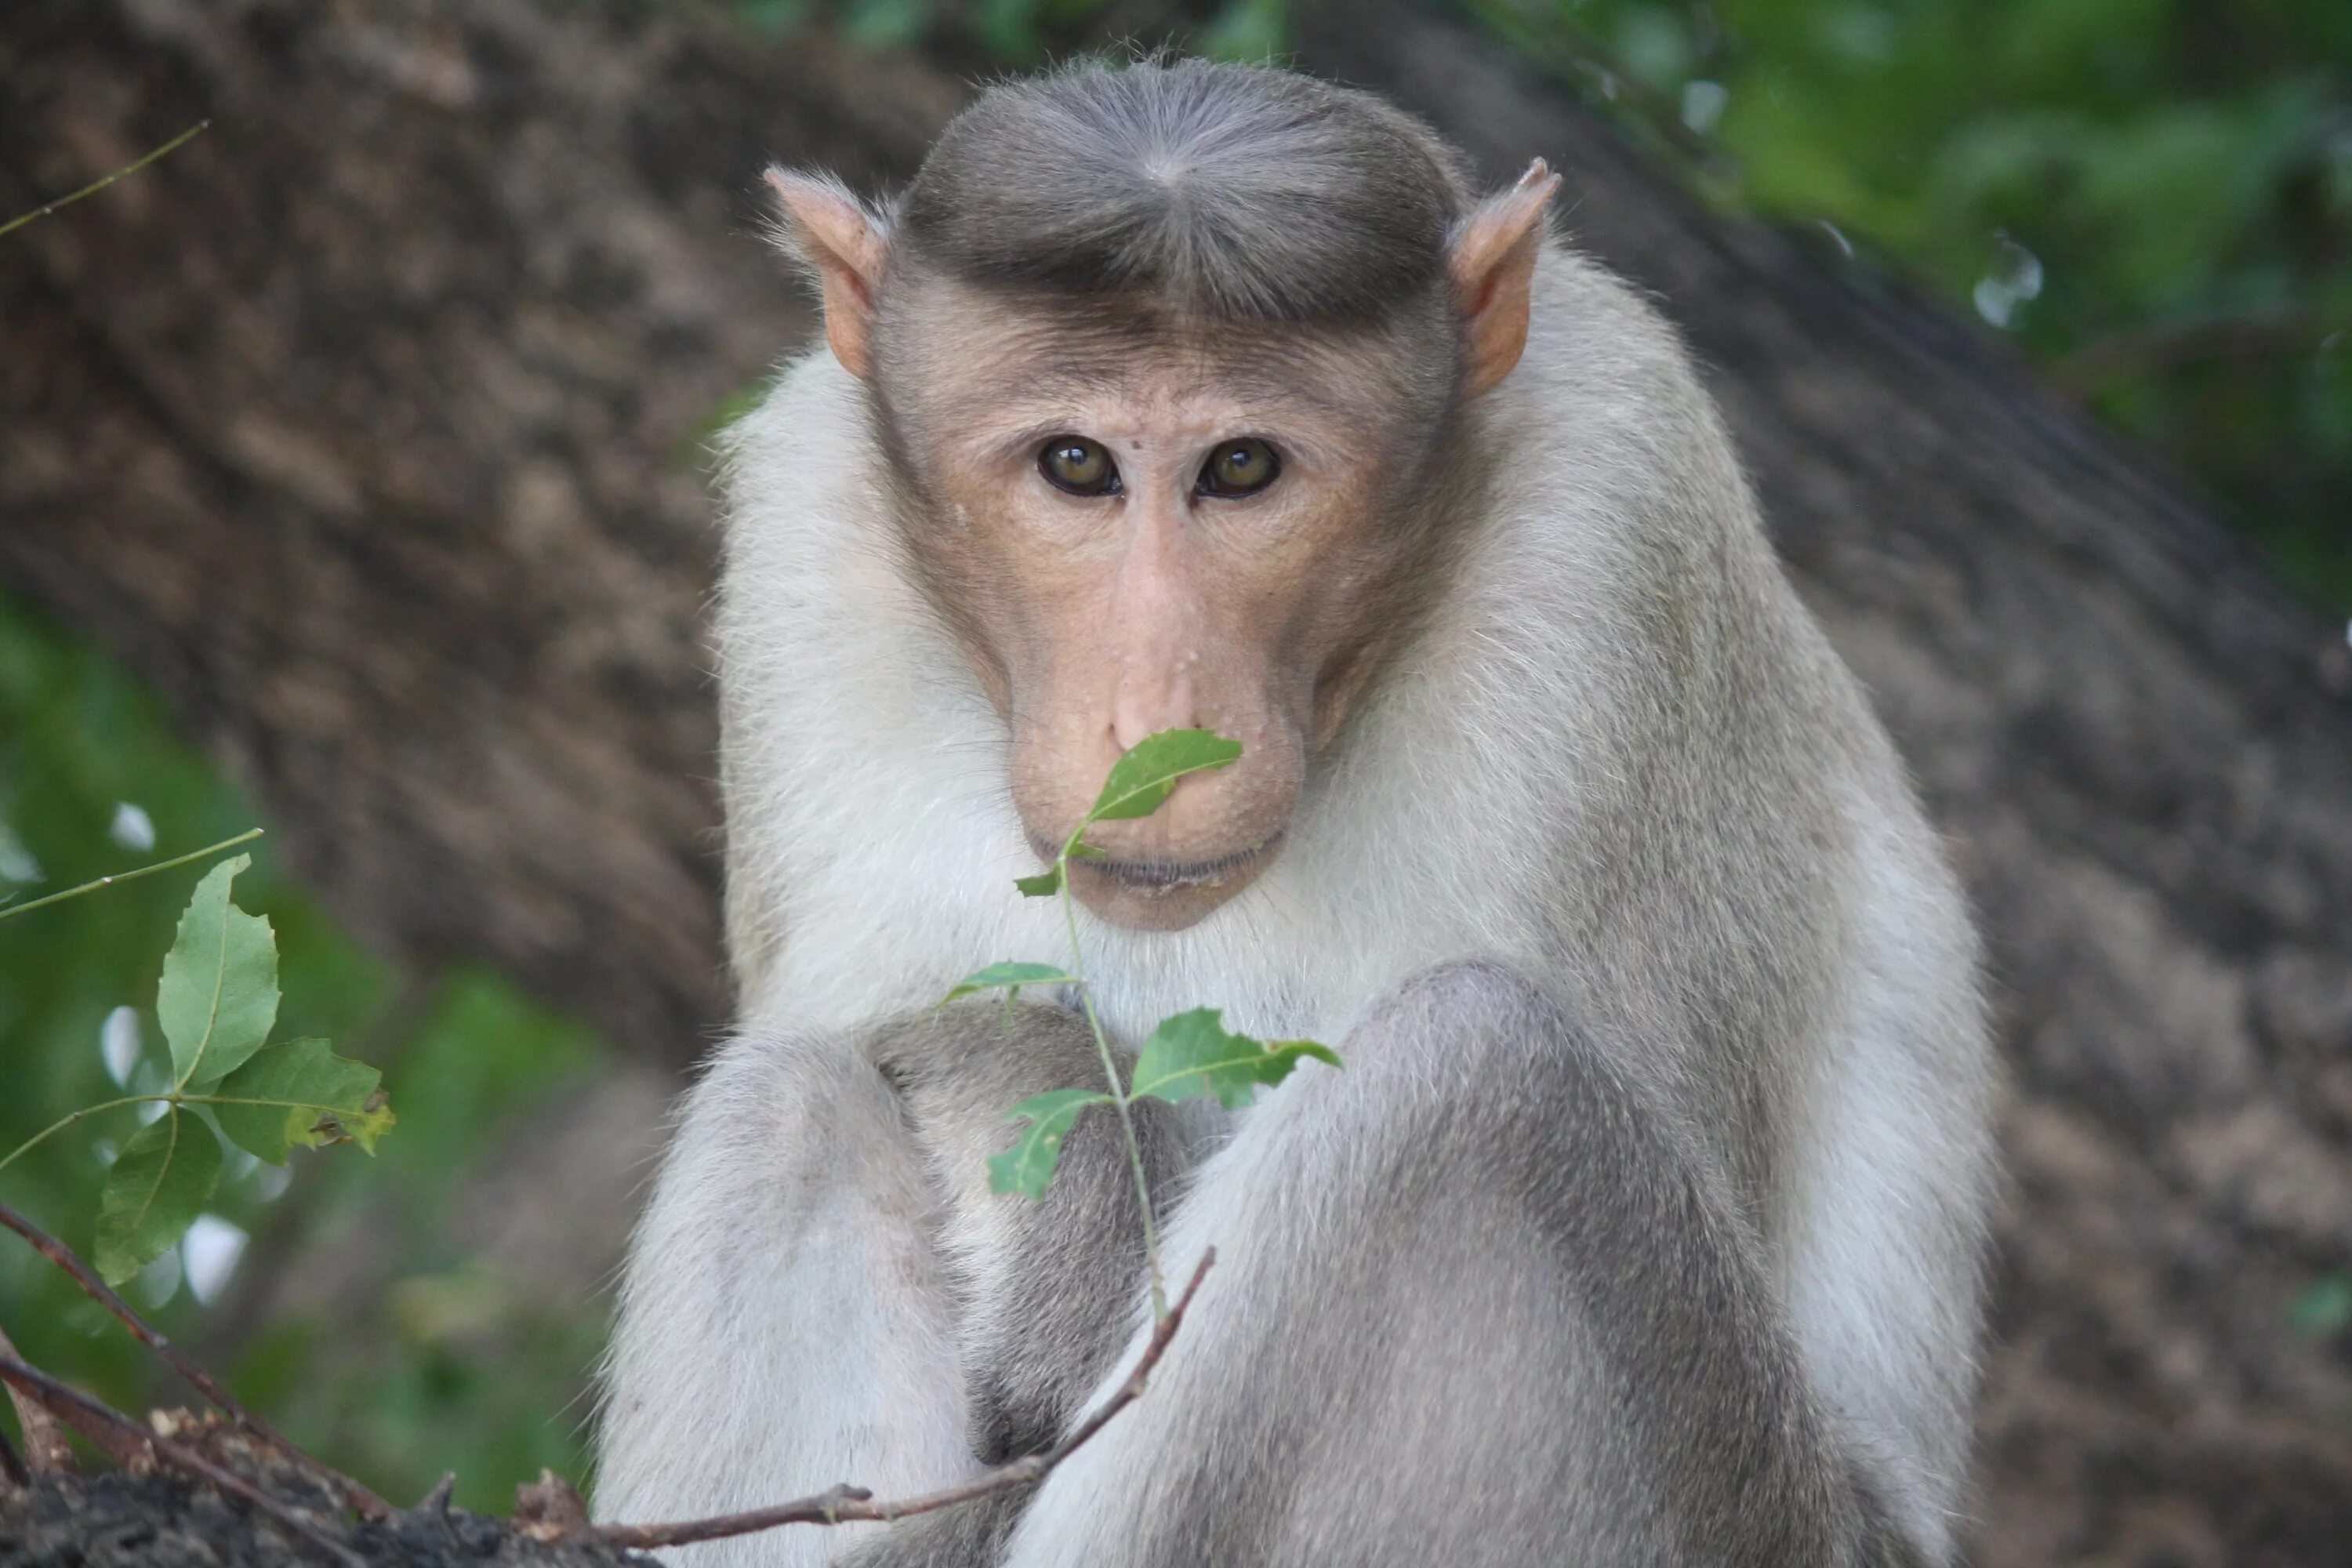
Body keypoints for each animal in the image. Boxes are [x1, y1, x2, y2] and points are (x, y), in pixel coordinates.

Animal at [597, 55, 1994, 1561]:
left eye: (1244, 468)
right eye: (1076, 465)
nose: (1155, 724)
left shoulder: (1623, 535)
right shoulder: (803, 540)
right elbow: (871, 1026)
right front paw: (1067, 1132)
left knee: (1471, 1071)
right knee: (790, 1101)